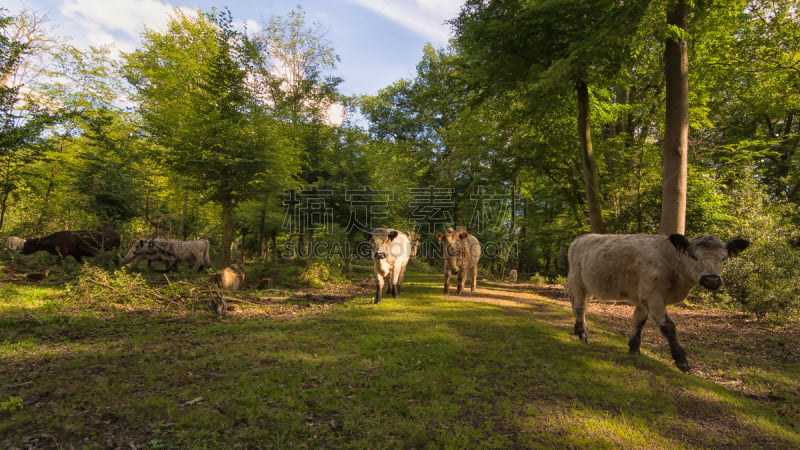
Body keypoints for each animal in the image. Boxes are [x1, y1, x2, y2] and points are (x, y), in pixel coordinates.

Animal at [564, 234, 748, 370]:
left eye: (724, 258)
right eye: (693, 256)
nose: (711, 280)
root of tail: (582, 237)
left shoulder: (643, 297)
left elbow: (639, 321)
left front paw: (634, 349)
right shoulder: (653, 296)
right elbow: (668, 327)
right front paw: (681, 360)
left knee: (580, 306)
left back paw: (577, 329)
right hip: (577, 281)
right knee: (579, 307)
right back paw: (583, 335)